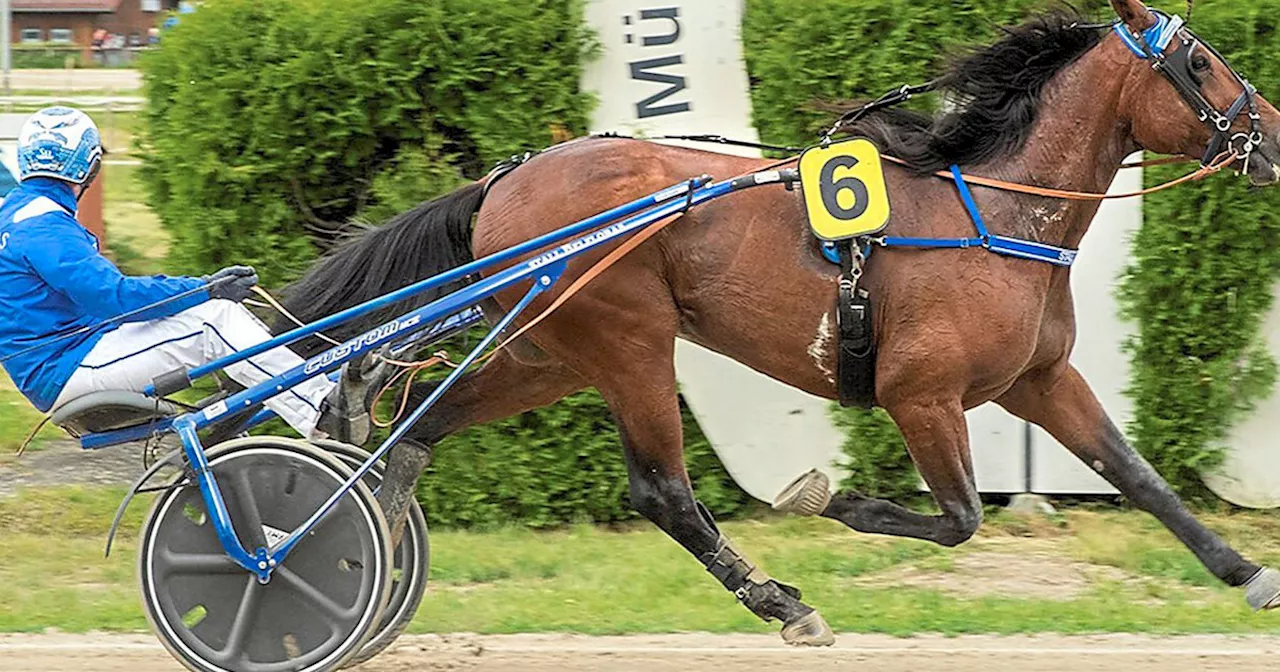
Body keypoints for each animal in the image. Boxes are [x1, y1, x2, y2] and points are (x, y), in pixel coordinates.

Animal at [288, 0, 1280, 642]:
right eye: (1199, 62)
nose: (1269, 135)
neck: (993, 212)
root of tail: (508, 176)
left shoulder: (1040, 380)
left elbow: (1139, 478)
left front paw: (1250, 575)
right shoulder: (922, 395)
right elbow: (959, 517)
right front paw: (827, 498)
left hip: (550, 351)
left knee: (422, 430)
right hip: (628, 341)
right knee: (663, 492)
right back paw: (783, 604)